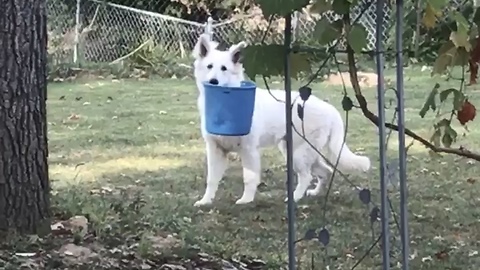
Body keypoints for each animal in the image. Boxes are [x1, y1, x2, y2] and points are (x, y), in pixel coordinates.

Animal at [192, 33, 372, 207]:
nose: (213, 82)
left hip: (297, 154)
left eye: (224, 68)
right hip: (301, 152)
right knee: (325, 171)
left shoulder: (249, 150)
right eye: (209, 66)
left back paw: (294, 198)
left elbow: (249, 178)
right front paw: (206, 201)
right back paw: (314, 193)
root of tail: (331, 109)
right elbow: (211, 180)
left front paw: (246, 200)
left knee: (306, 176)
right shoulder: (216, 151)